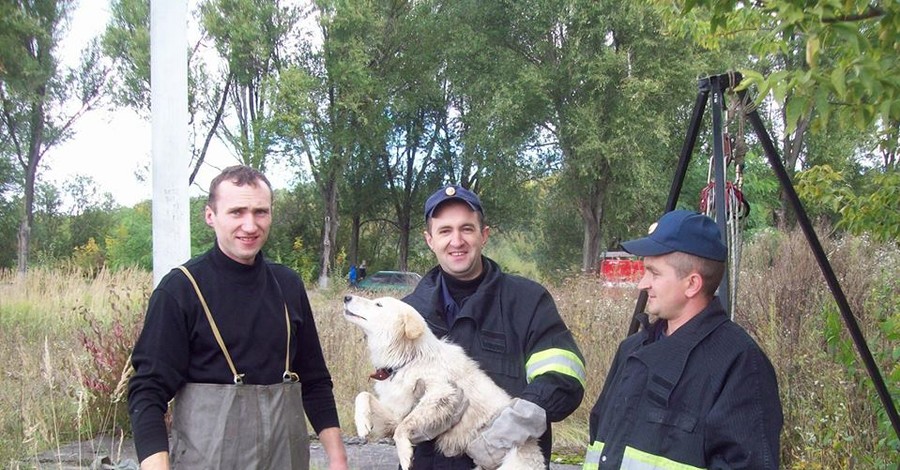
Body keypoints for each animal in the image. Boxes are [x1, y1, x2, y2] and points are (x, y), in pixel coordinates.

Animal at [342, 296, 540, 468]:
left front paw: (405, 454)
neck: (409, 359)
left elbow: (402, 428)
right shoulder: (395, 414)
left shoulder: (442, 392)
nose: (346, 297)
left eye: (378, 305)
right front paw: (362, 423)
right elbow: (363, 396)